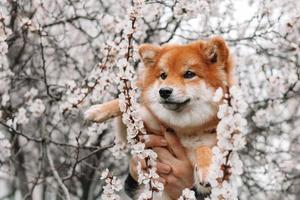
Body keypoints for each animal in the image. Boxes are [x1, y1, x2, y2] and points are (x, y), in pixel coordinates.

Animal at [84, 36, 234, 199]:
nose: (164, 91)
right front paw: (97, 110)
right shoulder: (147, 124)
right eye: (163, 76)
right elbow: (128, 103)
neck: (183, 127)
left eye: (189, 74)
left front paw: (207, 170)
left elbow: (204, 148)